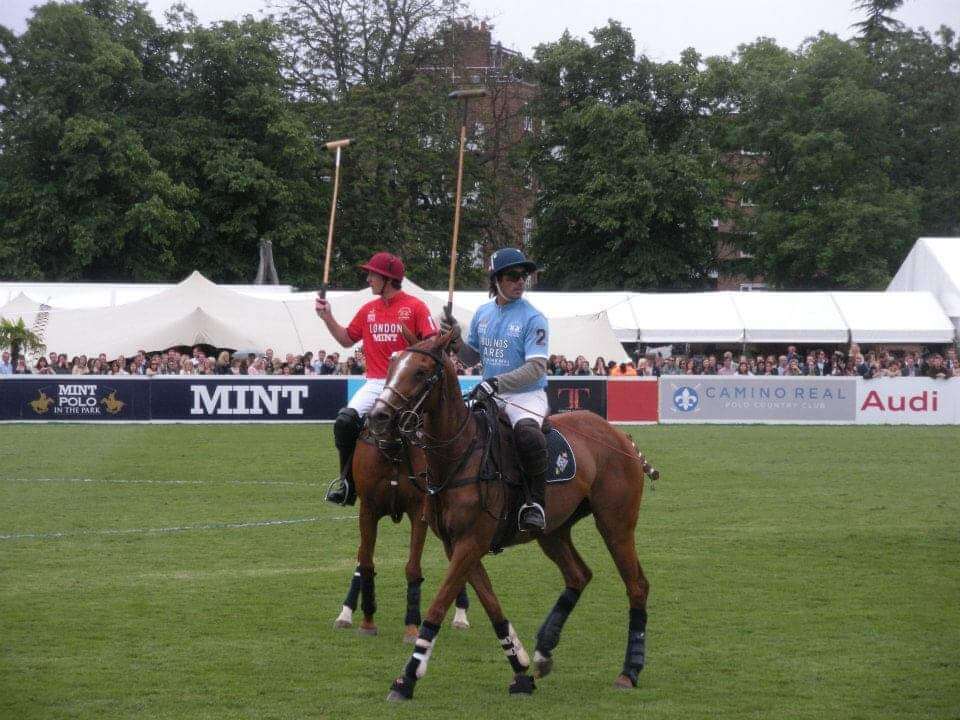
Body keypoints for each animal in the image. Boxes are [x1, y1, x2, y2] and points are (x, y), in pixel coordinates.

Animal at [332, 430, 470, 640]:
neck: (393, 449)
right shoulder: (368, 510)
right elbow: (365, 563)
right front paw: (366, 621)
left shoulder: (418, 511)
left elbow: (413, 568)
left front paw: (412, 626)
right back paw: (345, 614)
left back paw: (461, 616)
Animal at [370, 334, 660, 704]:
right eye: (392, 364)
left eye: (421, 372)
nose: (378, 416)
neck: (457, 456)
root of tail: (622, 437)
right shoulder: (457, 545)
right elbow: (491, 605)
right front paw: (521, 670)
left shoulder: (472, 542)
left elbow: (437, 606)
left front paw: (406, 679)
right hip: (553, 530)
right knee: (579, 574)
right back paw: (544, 651)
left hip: (616, 524)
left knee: (637, 585)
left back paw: (629, 670)